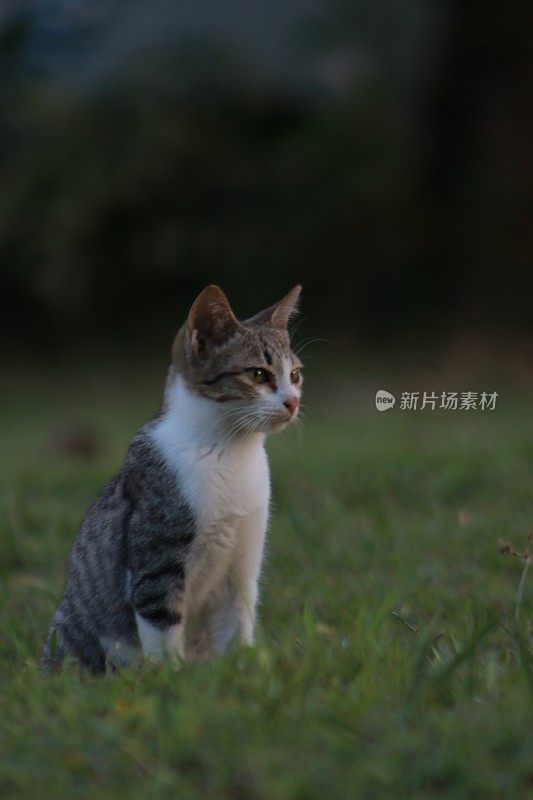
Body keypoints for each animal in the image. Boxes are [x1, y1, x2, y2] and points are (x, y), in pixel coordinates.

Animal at [40, 284, 304, 672]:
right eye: (257, 374)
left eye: (295, 375)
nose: (292, 402)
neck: (228, 452)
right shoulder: (155, 554)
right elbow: (160, 620)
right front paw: (172, 675)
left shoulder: (243, 558)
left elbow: (237, 622)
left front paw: (240, 668)